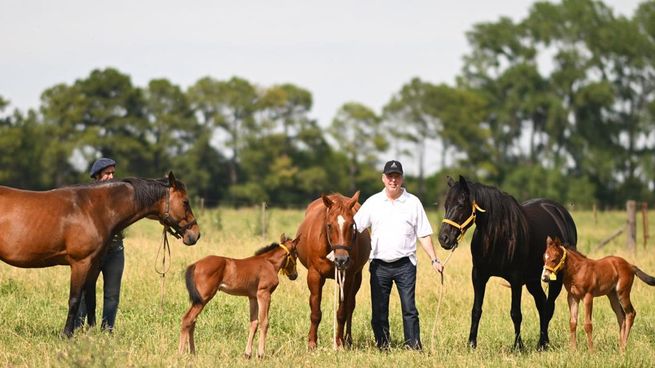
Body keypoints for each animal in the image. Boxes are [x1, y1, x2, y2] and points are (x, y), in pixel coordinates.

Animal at [0, 171, 200, 338]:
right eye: (185, 202)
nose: (195, 235)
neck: (92, 209)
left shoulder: (94, 265)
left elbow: (91, 300)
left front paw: (90, 333)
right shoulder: (80, 263)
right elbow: (74, 299)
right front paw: (66, 334)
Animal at [296, 191, 372, 350]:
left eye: (352, 225)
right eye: (329, 225)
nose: (341, 260)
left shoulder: (348, 277)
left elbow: (342, 312)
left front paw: (340, 343)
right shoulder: (315, 276)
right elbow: (315, 311)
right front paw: (312, 343)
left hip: (357, 278)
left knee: (350, 306)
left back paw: (348, 339)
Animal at [438, 177, 576, 350]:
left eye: (461, 204)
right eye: (446, 205)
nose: (444, 238)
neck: (498, 234)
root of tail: (561, 212)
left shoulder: (515, 279)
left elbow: (516, 313)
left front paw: (518, 346)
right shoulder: (478, 275)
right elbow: (476, 310)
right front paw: (471, 344)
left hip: (555, 278)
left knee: (549, 307)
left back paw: (543, 344)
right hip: (532, 280)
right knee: (542, 304)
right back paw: (543, 342)